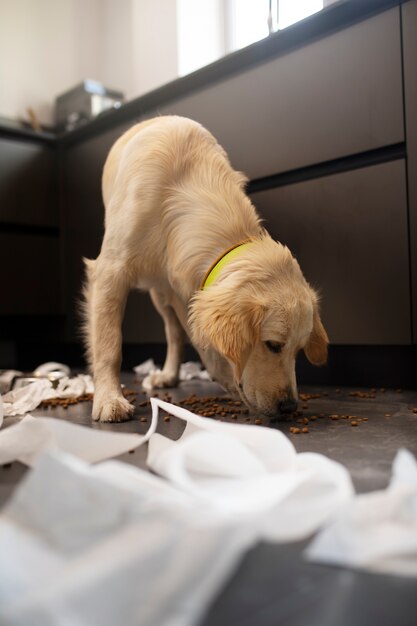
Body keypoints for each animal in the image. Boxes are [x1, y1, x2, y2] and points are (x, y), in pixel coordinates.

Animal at [82, 115, 328, 422]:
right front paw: (109, 399)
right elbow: (109, 344)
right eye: (273, 345)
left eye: (299, 350)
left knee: (176, 333)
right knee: (172, 331)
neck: (178, 186)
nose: (289, 407)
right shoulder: (110, 271)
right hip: (157, 292)